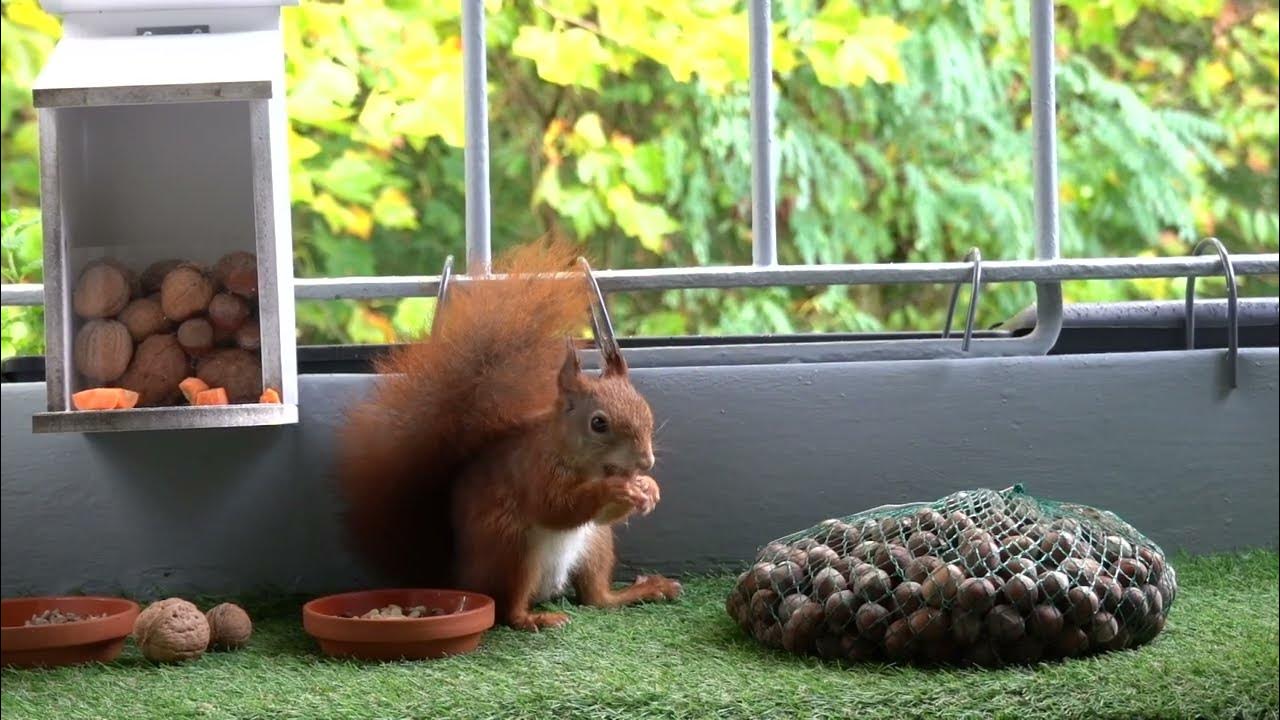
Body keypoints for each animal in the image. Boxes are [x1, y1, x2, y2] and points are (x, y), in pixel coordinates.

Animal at [338, 239, 682, 630]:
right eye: (598, 423)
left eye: (645, 408)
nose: (646, 461)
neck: (577, 458)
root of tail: (460, 576)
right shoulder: (533, 471)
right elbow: (556, 507)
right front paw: (618, 488)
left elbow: (602, 515)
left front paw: (648, 488)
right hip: (512, 549)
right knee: (509, 609)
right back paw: (537, 618)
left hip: (595, 545)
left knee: (596, 598)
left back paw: (643, 590)